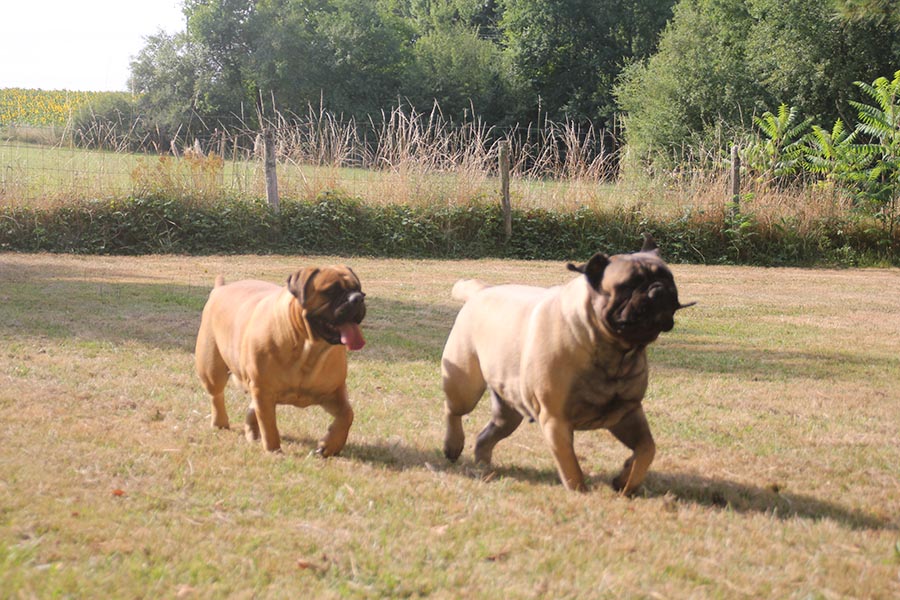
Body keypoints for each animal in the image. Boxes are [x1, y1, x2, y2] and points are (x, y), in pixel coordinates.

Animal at [194, 265, 366, 456]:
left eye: (359, 289)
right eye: (331, 291)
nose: (357, 298)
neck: (309, 348)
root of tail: (220, 289)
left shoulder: (333, 392)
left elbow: (347, 414)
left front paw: (330, 445)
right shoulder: (263, 390)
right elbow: (269, 426)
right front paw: (274, 451)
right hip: (212, 370)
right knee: (216, 395)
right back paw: (220, 423)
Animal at [441, 235, 693, 494]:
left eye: (668, 277)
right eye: (629, 285)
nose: (658, 288)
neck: (612, 349)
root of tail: (482, 290)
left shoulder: (627, 413)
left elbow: (647, 449)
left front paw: (625, 480)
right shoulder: (556, 420)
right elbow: (570, 464)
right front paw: (581, 491)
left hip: (508, 411)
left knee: (487, 434)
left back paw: (483, 466)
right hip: (465, 386)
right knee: (452, 410)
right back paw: (453, 445)